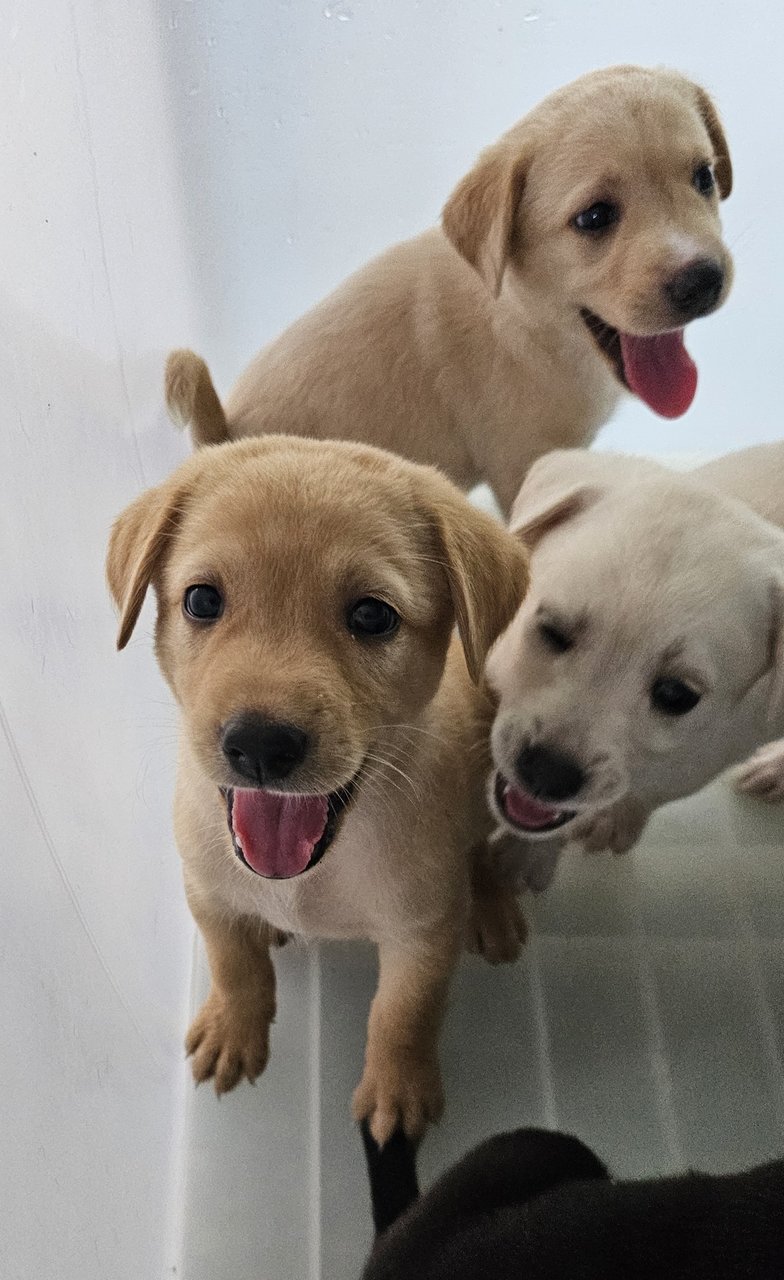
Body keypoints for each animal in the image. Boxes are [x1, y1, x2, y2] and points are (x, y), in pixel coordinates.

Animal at [106, 432, 530, 1141]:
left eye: (372, 615)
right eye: (201, 601)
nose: (259, 746)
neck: (311, 876)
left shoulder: (423, 930)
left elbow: (403, 1013)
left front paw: (398, 1089)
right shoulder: (205, 890)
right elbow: (234, 963)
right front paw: (233, 1028)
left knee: (484, 848)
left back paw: (493, 906)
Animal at [166, 64, 732, 512]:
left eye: (704, 177)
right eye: (594, 217)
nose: (704, 280)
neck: (521, 319)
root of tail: (221, 433)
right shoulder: (524, 464)